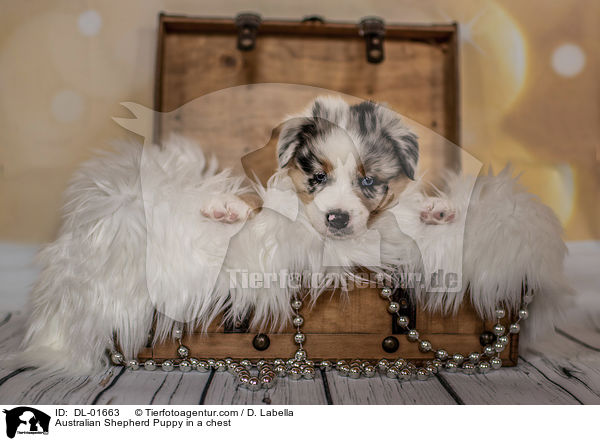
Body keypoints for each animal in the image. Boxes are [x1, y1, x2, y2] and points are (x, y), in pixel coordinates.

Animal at [12, 95, 568, 372]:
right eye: (315, 176)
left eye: (369, 181)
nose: (338, 220)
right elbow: (259, 201)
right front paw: (225, 208)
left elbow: (401, 212)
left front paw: (437, 210)